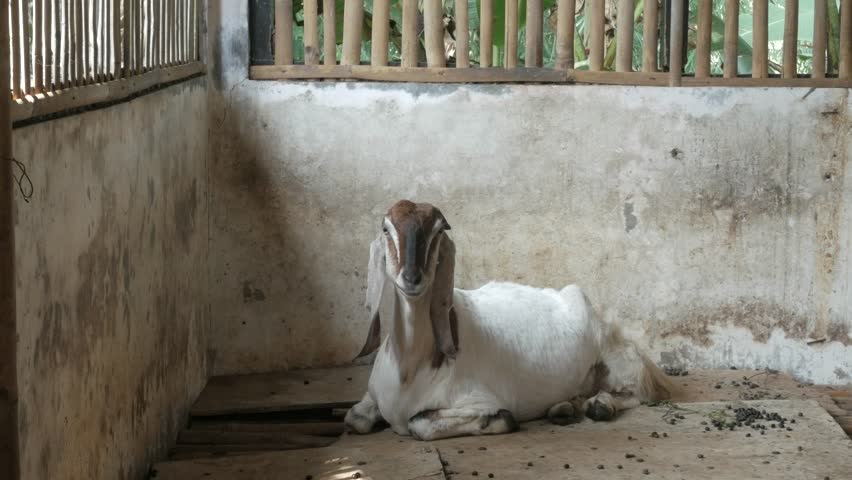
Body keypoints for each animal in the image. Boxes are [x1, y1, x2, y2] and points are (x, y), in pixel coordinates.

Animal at [344, 200, 673, 441]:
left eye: (438, 230)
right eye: (386, 228)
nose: (412, 278)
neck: (412, 368)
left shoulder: (478, 398)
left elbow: (420, 424)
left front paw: (497, 420)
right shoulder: (372, 396)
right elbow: (354, 418)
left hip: (620, 361)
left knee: (639, 392)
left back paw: (600, 405)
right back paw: (565, 407)